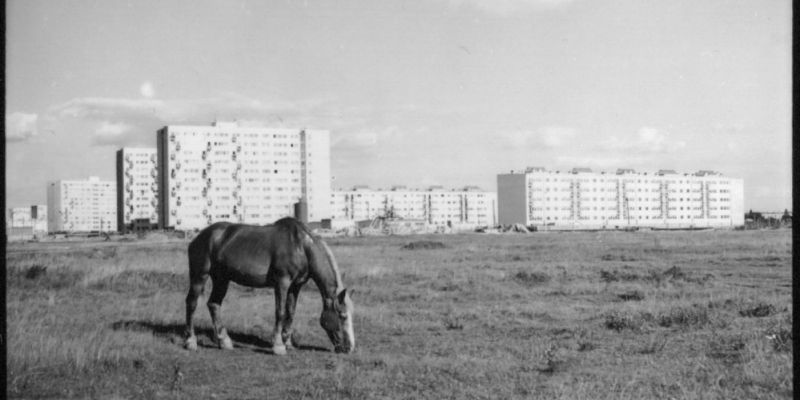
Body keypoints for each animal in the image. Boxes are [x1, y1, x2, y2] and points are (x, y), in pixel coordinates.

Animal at [186, 217, 354, 354]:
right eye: (342, 315)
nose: (349, 348)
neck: (301, 246)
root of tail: (199, 237)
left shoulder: (295, 286)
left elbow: (290, 312)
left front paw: (288, 343)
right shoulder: (282, 283)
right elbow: (280, 312)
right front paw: (279, 346)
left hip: (222, 279)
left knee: (214, 304)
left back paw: (224, 341)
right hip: (200, 276)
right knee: (192, 303)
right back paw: (191, 341)